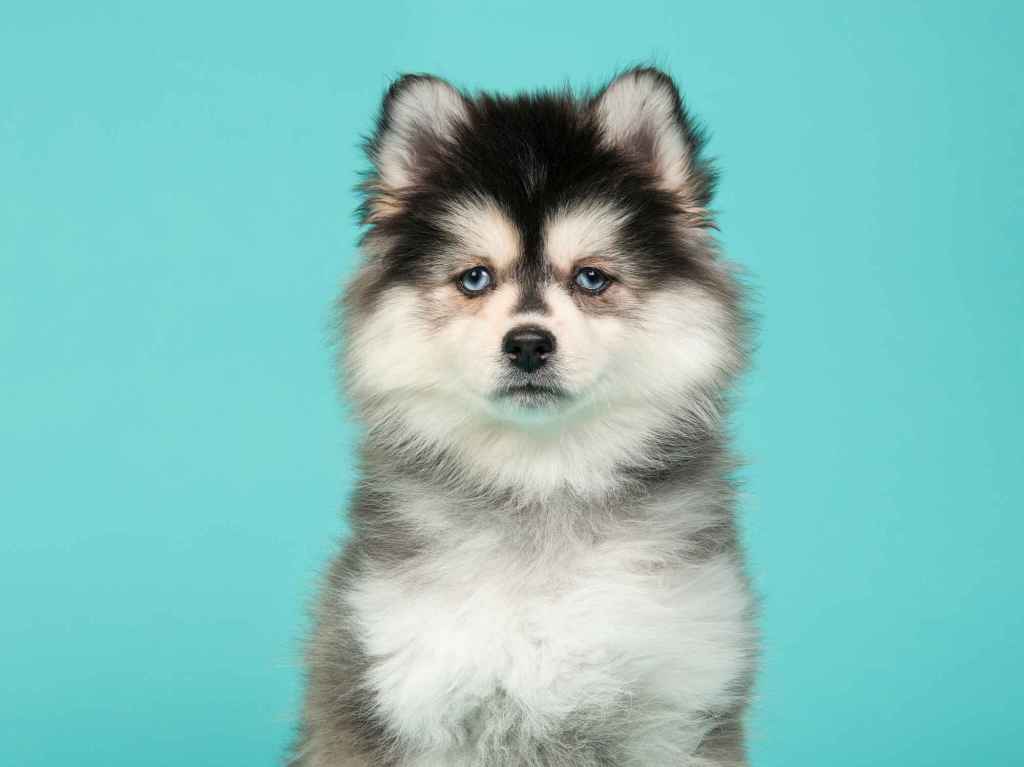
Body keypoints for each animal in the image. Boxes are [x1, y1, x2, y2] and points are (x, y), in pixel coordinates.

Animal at [292, 67, 757, 765]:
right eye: (475, 278)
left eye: (591, 278)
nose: (529, 344)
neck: (543, 480)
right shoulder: (404, 687)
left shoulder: (678, 704)